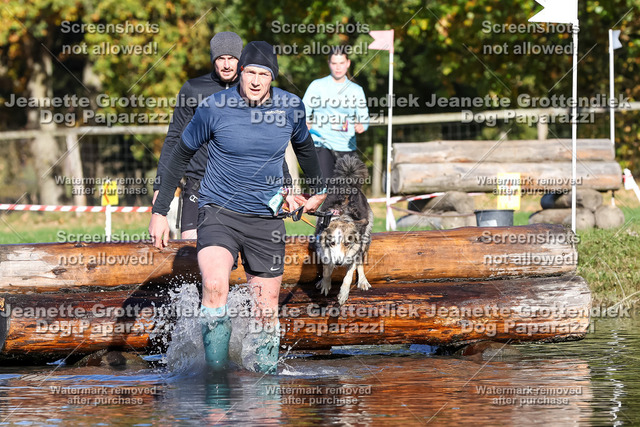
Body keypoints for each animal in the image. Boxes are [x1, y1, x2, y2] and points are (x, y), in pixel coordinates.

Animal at [315, 155, 374, 305]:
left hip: (365, 238)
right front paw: (325, 284)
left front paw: (342, 295)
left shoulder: (354, 251)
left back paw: (363, 281)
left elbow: (348, 275)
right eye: (332, 243)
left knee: (360, 262)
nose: (338, 263)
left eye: (347, 244)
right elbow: (326, 269)